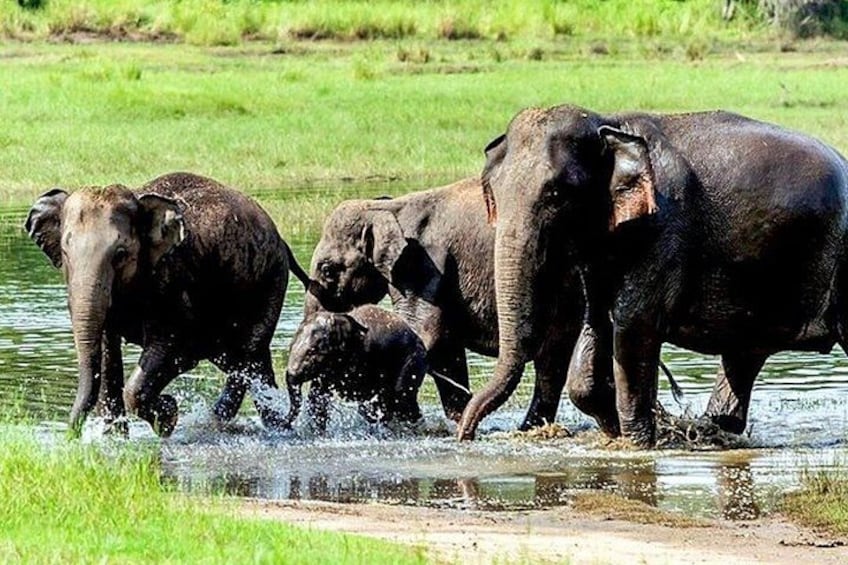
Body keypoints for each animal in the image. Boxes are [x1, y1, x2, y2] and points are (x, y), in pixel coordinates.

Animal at [25, 172, 310, 436]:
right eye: (65, 252)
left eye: (120, 254)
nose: (71, 437)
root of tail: (281, 241)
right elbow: (107, 350)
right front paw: (115, 439)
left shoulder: (174, 277)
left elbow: (177, 349)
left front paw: (168, 418)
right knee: (248, 362)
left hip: (269, 282)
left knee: (247, 358)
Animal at [284, 304, 427, 432]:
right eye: (290, 347)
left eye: (311, 352)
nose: (285, 425)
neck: (339, 317)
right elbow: (317, 398)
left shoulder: (362, 358)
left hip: (412, 362)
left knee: (400, 400)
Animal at [304, 178, 612, 433]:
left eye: (328, 270)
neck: (386, 208)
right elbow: (446, 348)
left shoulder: (422, 268)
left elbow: (427, 336)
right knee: (552, 361)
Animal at [458, 104, 848, 447]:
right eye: (494, 193)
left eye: (556, 193)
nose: (466, 435)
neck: (609, 122)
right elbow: (595, 326)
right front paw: (620, 431)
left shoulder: (662, 229)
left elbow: (633, 324)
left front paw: (638, 445)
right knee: (743, 356)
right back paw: (714, 431)